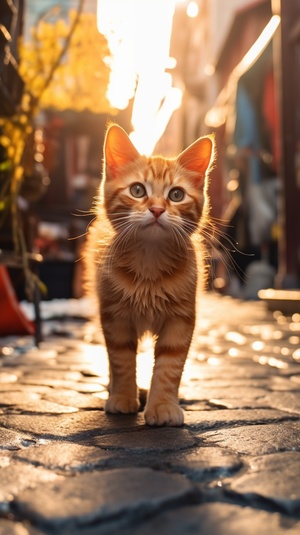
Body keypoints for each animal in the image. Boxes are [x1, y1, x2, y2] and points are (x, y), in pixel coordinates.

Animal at [85, 122, 214, 428]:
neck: (149, 264)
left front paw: (163, 405)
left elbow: (169, 366)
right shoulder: (115, 316)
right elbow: (121, 360)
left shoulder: (180, 319)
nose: (156, 209)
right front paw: (123, 397)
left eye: (176, 195)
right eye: (137, 190)